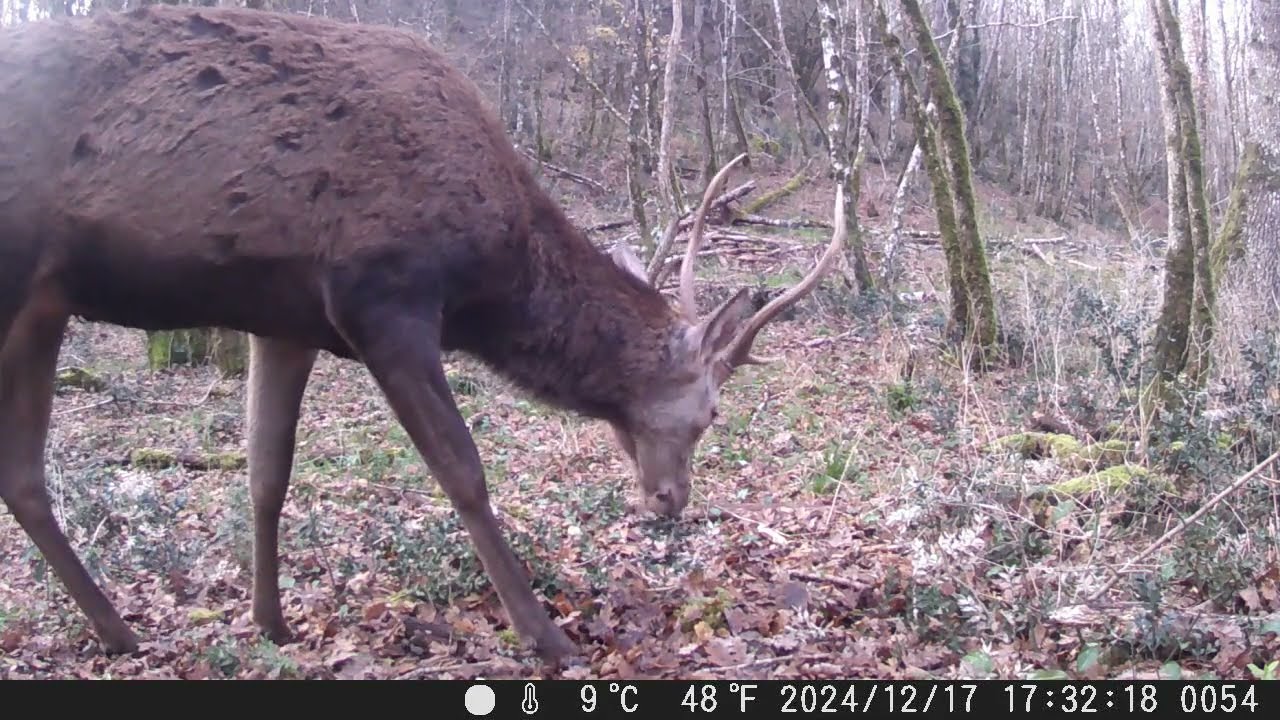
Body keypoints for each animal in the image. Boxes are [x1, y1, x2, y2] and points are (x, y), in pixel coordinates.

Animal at [0, 4, 846, 665]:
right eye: (710, 412)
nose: (671, 501)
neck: (490, 278)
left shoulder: (286, 321)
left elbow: (266, 472)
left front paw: (270, 623)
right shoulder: (383, 295)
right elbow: (462, 470)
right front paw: (548, 638)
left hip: (44, 304)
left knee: (23, 473)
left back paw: (119, 632)